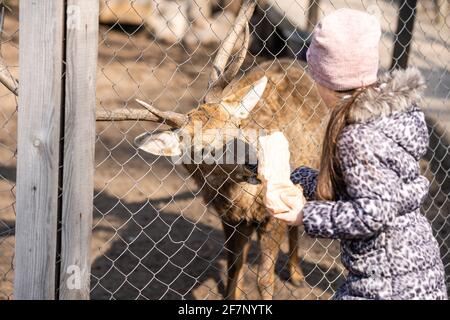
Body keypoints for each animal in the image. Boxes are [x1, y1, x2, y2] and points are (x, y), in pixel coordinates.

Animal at [135, 0, 328, 300]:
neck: (242, 198)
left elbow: (264, 279)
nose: (255, 163)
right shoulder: (228, 218)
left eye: (238, 124)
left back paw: (296, 275)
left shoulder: (270, 217)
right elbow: (234, 269)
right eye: (203, 149)